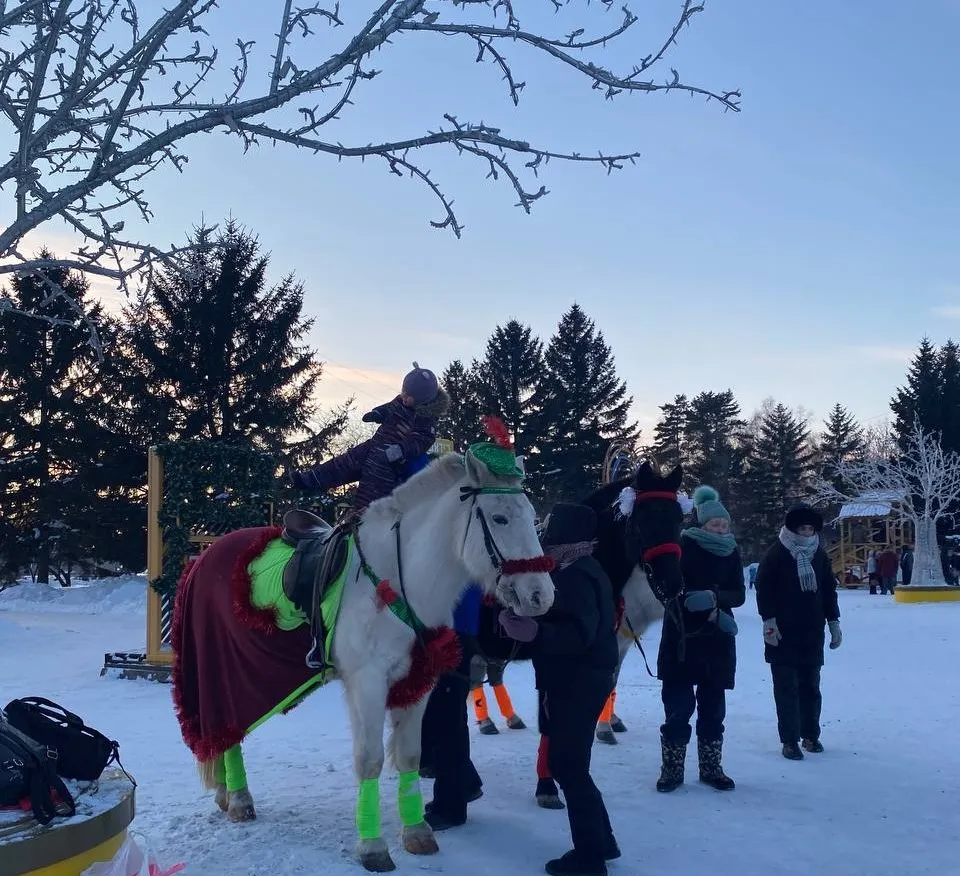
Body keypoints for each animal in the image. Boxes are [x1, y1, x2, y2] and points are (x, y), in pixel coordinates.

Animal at [172, 448, 556, 872]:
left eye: (531, 516)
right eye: (500, 518)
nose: (540, 595)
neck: (395, 579)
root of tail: (204, 557)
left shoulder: (418, 681)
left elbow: (410, 755)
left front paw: (417, 832)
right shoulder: (368, 682)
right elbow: (370, 760)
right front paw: (373, 846)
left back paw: (227, 794)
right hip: (220, 669)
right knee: (228, 731)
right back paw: (240, 799)